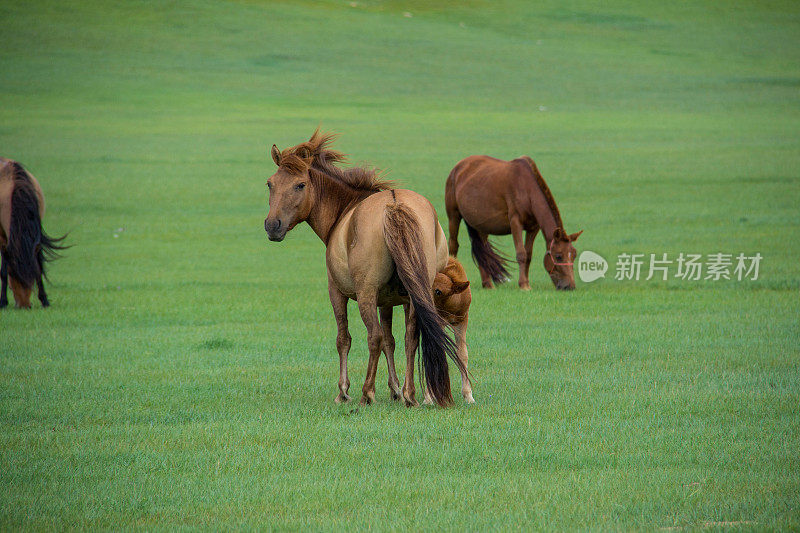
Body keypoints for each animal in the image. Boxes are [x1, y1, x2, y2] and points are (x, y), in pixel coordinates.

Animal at [0, 157, 67, 308]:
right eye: (12, 272)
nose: (24, 305)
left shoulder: (36, 235)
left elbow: (39, 266)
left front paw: (44, 300)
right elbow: (2, 271)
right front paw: (3, 302)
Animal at [262, 131, 462, 406]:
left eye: (300, 185)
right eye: (270, 184)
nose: (273, 225)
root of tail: (394, 204)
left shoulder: (337, 293)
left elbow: (344, 339)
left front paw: (343, 390)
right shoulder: (389, 301)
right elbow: (392, 341)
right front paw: (396, 389)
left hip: (366, 293)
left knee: (373, 337)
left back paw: (367, 392)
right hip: (417, 293)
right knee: (411, 337)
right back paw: (410, 394)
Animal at [444, 156, 580, 290]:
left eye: (574, 255)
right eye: (558, 256)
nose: (570, 286)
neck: (527, 189)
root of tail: (456, 169)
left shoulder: (533, 228)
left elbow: (528, 255)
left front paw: (527, 283)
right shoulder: (515, 223)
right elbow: (521, 254)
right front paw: (523, 285)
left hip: (481, 225)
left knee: (483, 251)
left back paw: (488, 284)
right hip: (454, 216)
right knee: (453, 245)